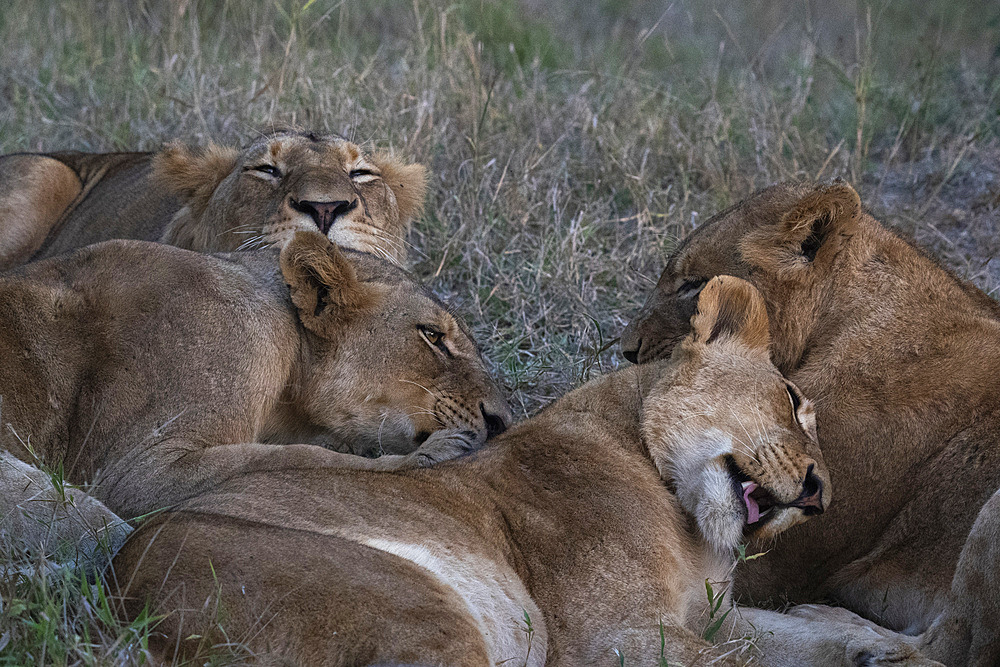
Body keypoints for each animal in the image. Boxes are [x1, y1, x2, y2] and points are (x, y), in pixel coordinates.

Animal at [111, 276, 936, 667]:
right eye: (793, 399)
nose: (822, 493)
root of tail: (122, 581)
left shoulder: (710, 613)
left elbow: (789, 637)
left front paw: (886, 648)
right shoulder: (616, 638)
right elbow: (741, 662)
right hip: (415, 610)